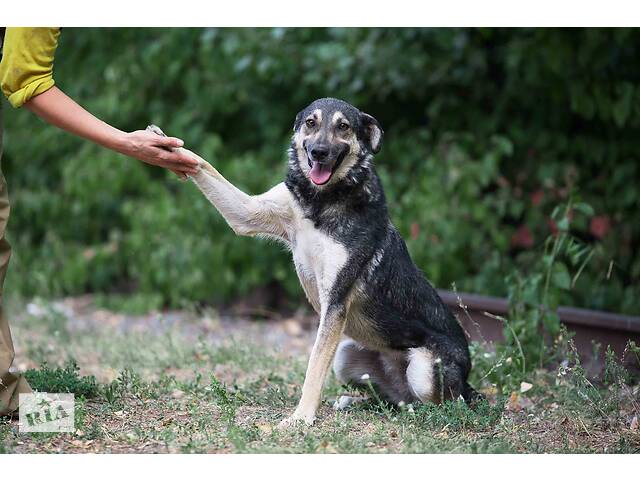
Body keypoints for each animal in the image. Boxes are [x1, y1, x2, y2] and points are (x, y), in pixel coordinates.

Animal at [148, 95, 478, 426]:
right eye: (311, 123)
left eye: (343, 127)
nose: (319, 151)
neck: (322, 199)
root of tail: (468, 380)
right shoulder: (249, 213)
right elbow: (203, 165)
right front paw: (164, 143)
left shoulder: (335, 303)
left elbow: (314, 366)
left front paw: (301, 418)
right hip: (346, 356)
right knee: (393, 399)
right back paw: (352, 402)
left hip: (422, 372)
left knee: (438, 405)